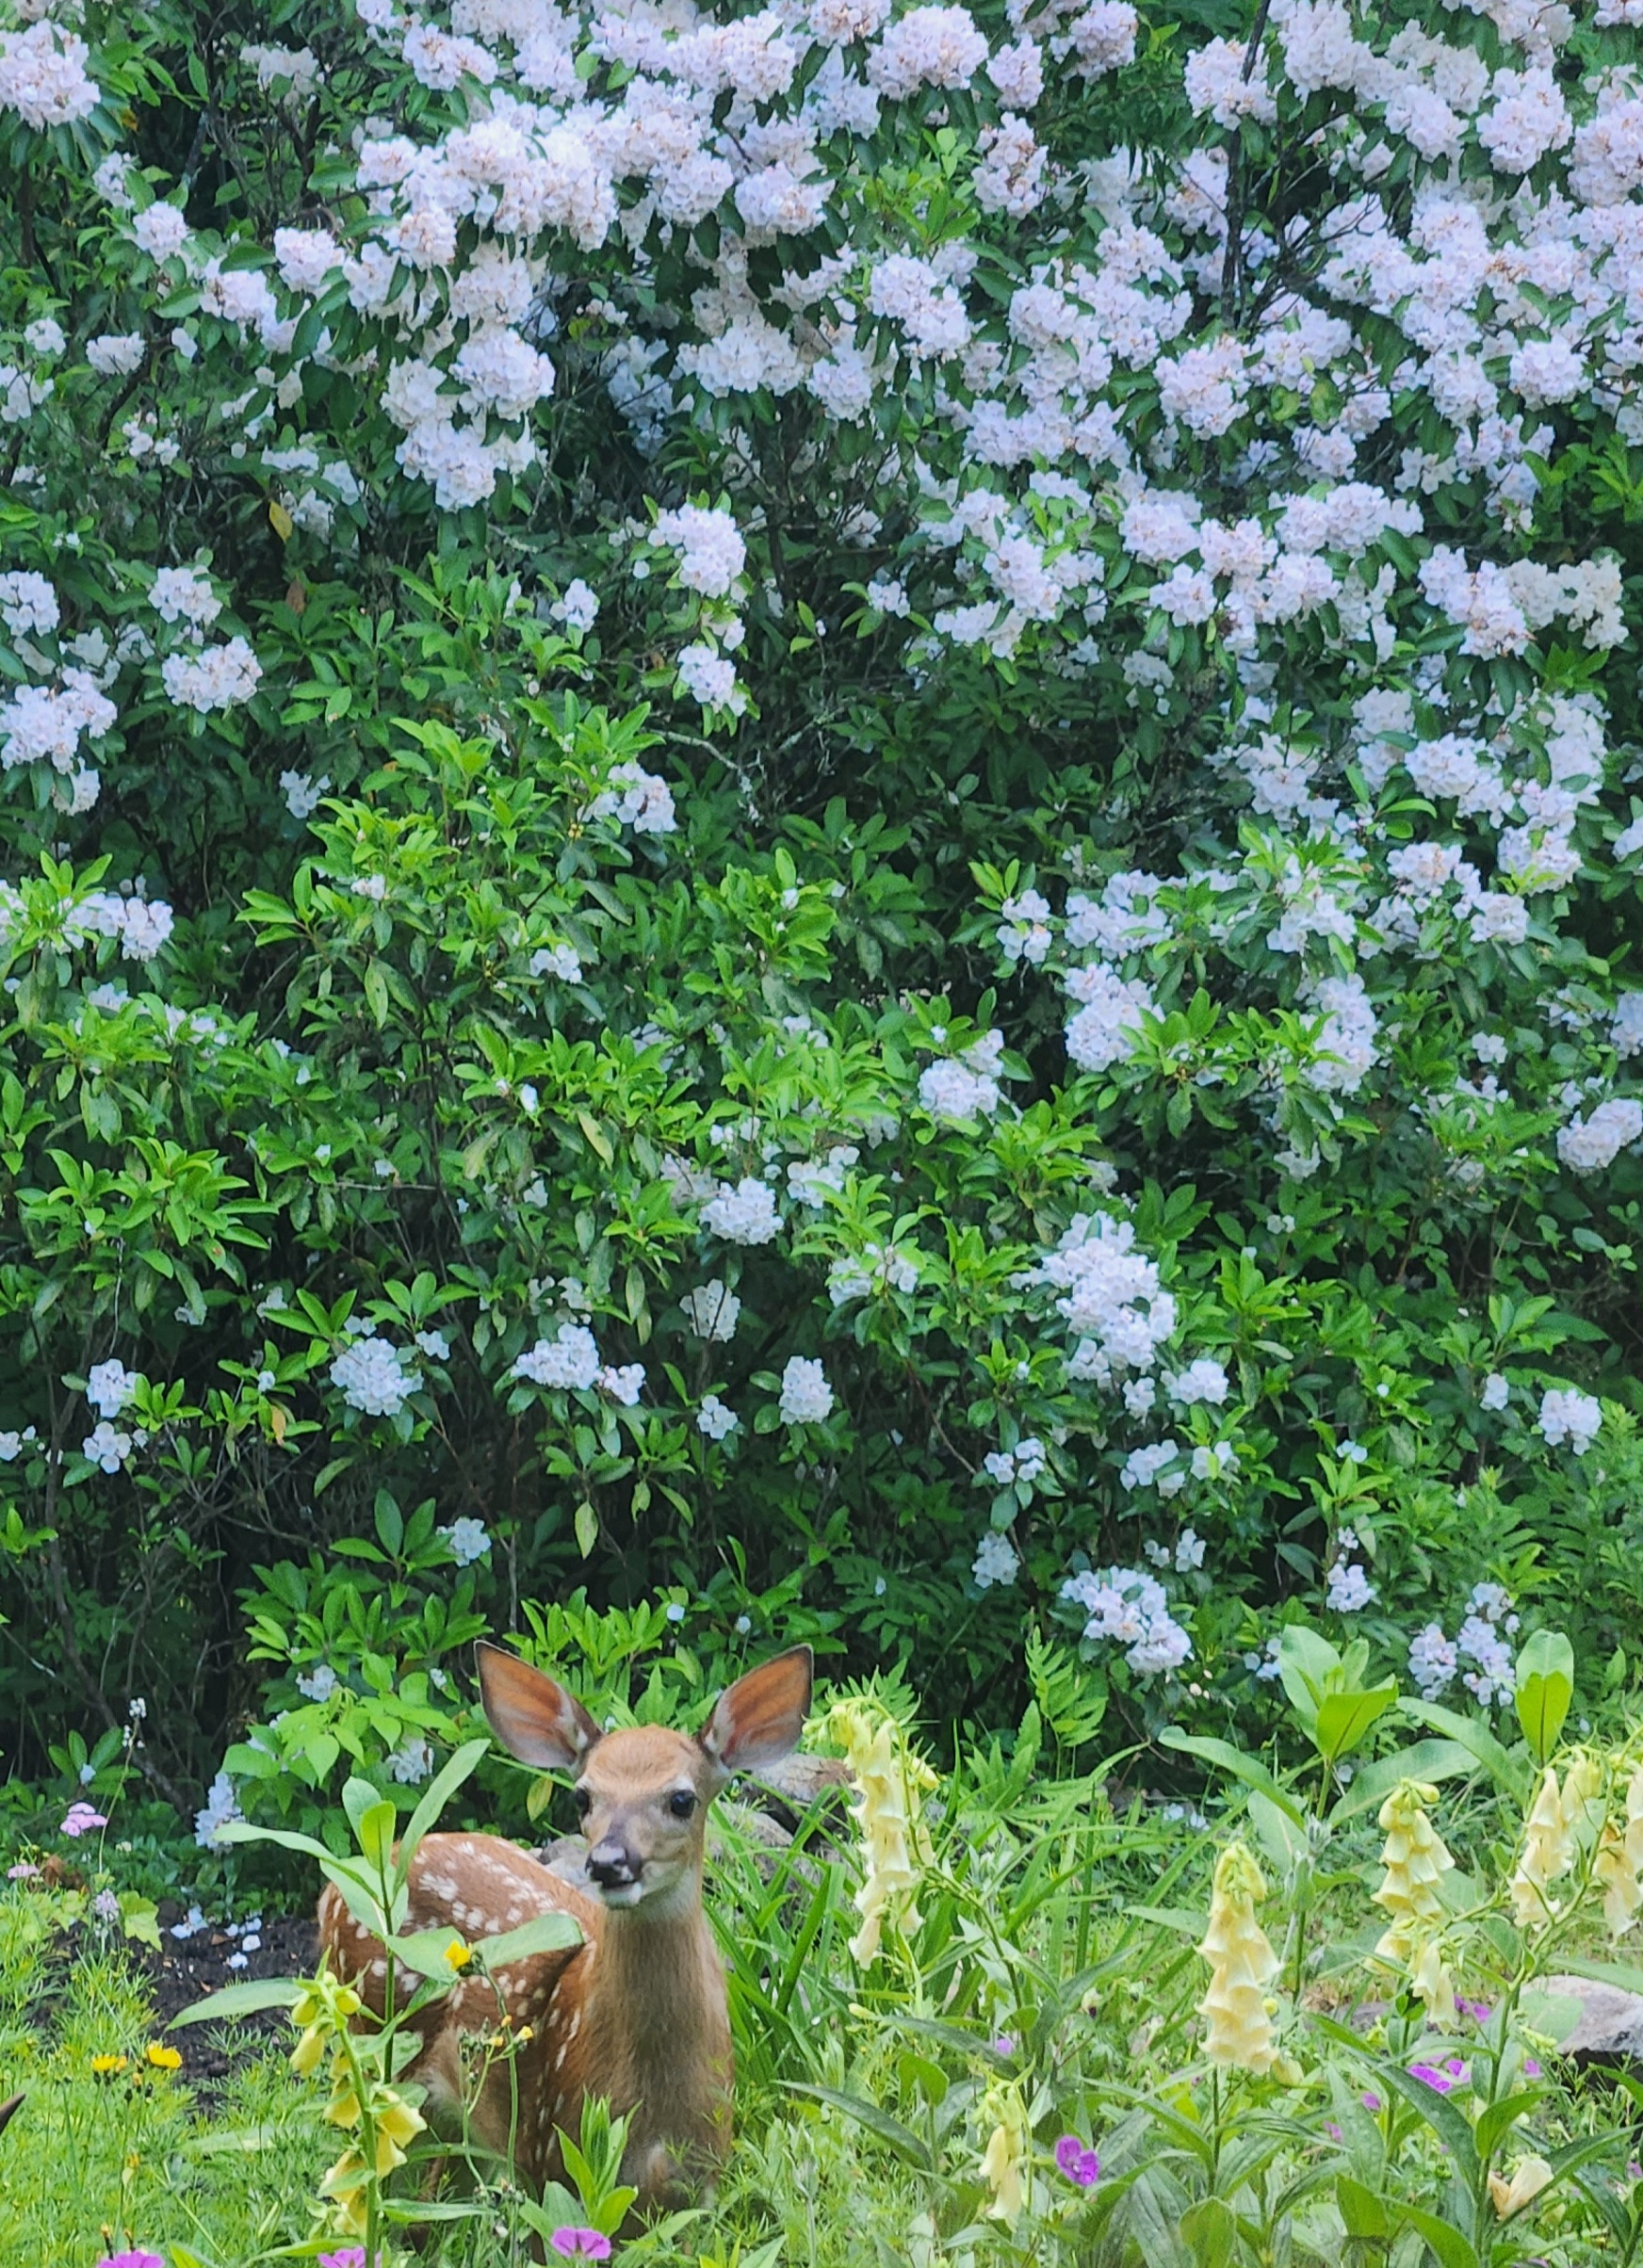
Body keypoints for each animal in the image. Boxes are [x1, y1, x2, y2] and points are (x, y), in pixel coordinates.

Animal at [317, 1639, 814, 2212]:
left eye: (682, 1799)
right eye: (583, 1796)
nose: (609, 1862)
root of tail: (336, 1889)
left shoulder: (703, 2186)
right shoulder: (553, 2161)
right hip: (379, 2052)